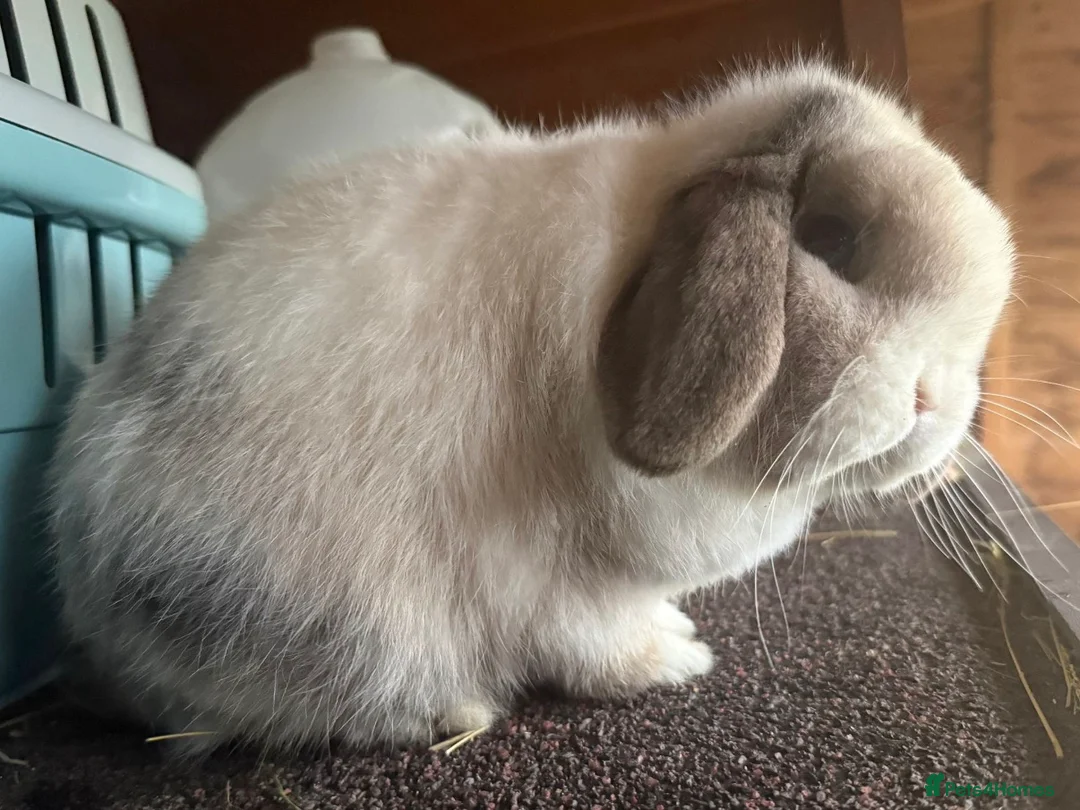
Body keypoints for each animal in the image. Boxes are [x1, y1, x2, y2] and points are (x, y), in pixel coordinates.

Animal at [48, 60, 1014, 755]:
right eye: (828, 239)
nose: (936, 400)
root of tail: (102, 640)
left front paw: (680, 628)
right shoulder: (559, 577)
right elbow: (597, 643)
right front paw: (680, 661)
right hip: (325, 623)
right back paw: (450, 713)